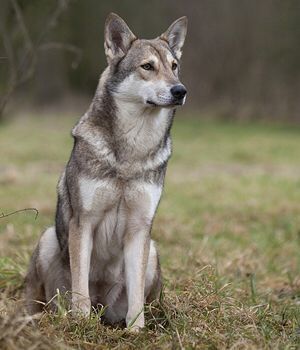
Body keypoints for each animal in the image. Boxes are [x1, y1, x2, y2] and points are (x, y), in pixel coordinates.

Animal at [27, 13, 189, 330]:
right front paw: (80, 323)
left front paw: (136, 330)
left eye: (174, 66)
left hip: (153, 251)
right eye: (148, 66)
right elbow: (80, 286)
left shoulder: (140, 228)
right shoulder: (83, 222)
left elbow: (136, 295)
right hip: (49, 239)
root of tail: (103, 307)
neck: (131, 150)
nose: (180, 90)